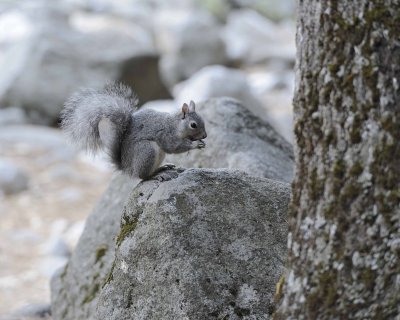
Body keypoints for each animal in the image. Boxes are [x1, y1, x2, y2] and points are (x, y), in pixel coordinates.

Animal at [61, 83, 208, 180]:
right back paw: (155, 175)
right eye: (193, 125)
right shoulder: (166, 134)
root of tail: (128, 169)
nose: (205, 135)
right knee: (142, 176)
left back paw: (162, 168)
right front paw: (195, 144)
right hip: (146, 150)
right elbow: (174, 147)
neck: (175, 124)